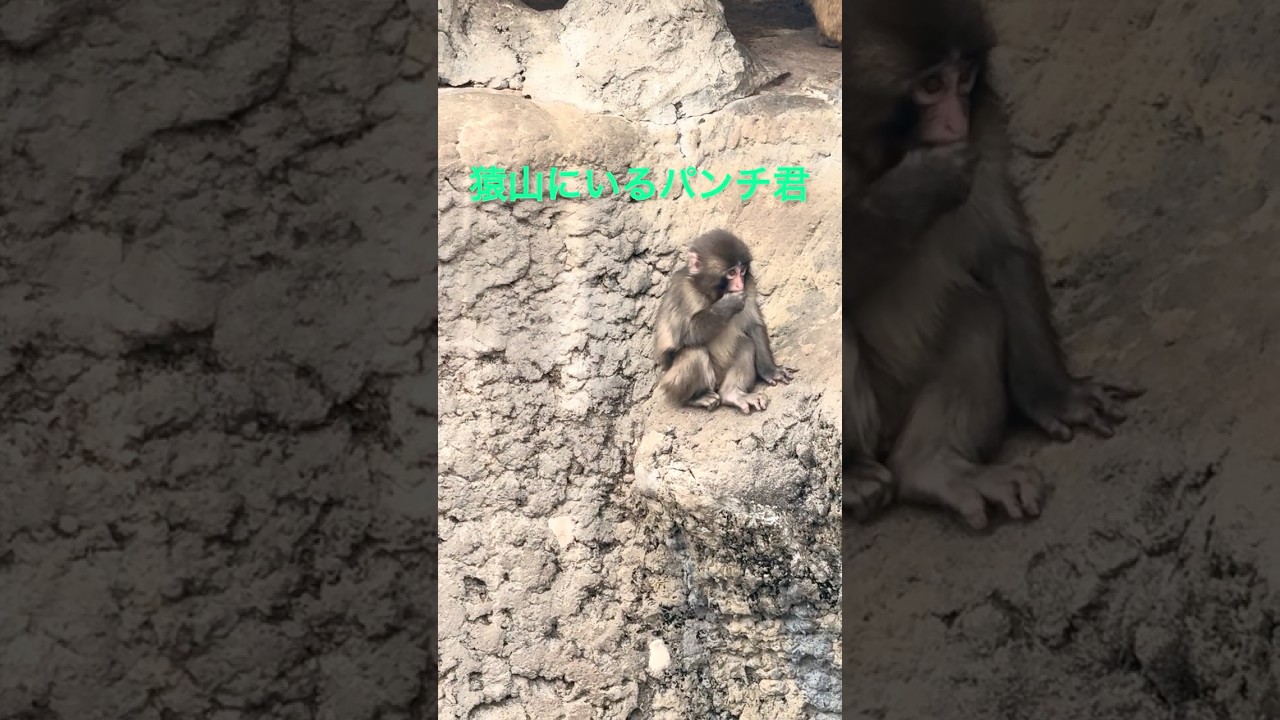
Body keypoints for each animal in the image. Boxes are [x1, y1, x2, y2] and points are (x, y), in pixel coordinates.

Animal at [654, 230, 798, 415]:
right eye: (731, 273)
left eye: (742, 271)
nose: (739, 284)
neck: (713, 294)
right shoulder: (683, 291)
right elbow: (684, 335)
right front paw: (727, 305)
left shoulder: (749, 286)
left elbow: (754, 325)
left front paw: (770, 371)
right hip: (671, 383)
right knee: (695, 352)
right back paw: (696, 398)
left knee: (746, 344)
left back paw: (733, 394)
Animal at [842, 0, 1143, 530]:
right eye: (931, 85)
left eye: (964, 78)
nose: (956, 122)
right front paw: (916, 189)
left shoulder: (983, 124)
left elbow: (1001, 248)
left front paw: (1053, 393)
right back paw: (854, 473)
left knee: (978, 310)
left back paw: (935, 467)